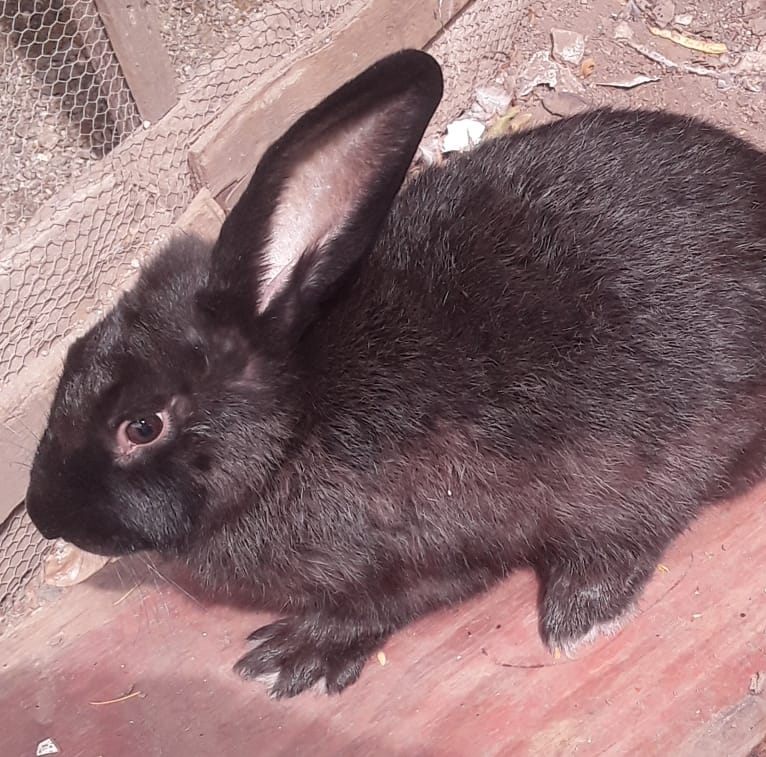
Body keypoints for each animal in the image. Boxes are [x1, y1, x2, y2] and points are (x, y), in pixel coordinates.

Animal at [24, 48, 766, 699]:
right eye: (71, 359)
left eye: (141, 426)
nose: (43, 514)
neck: (293, 427)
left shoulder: (422, 557)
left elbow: (381, 606)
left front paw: (290, 658)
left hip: (646, 461)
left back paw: (576, 615)